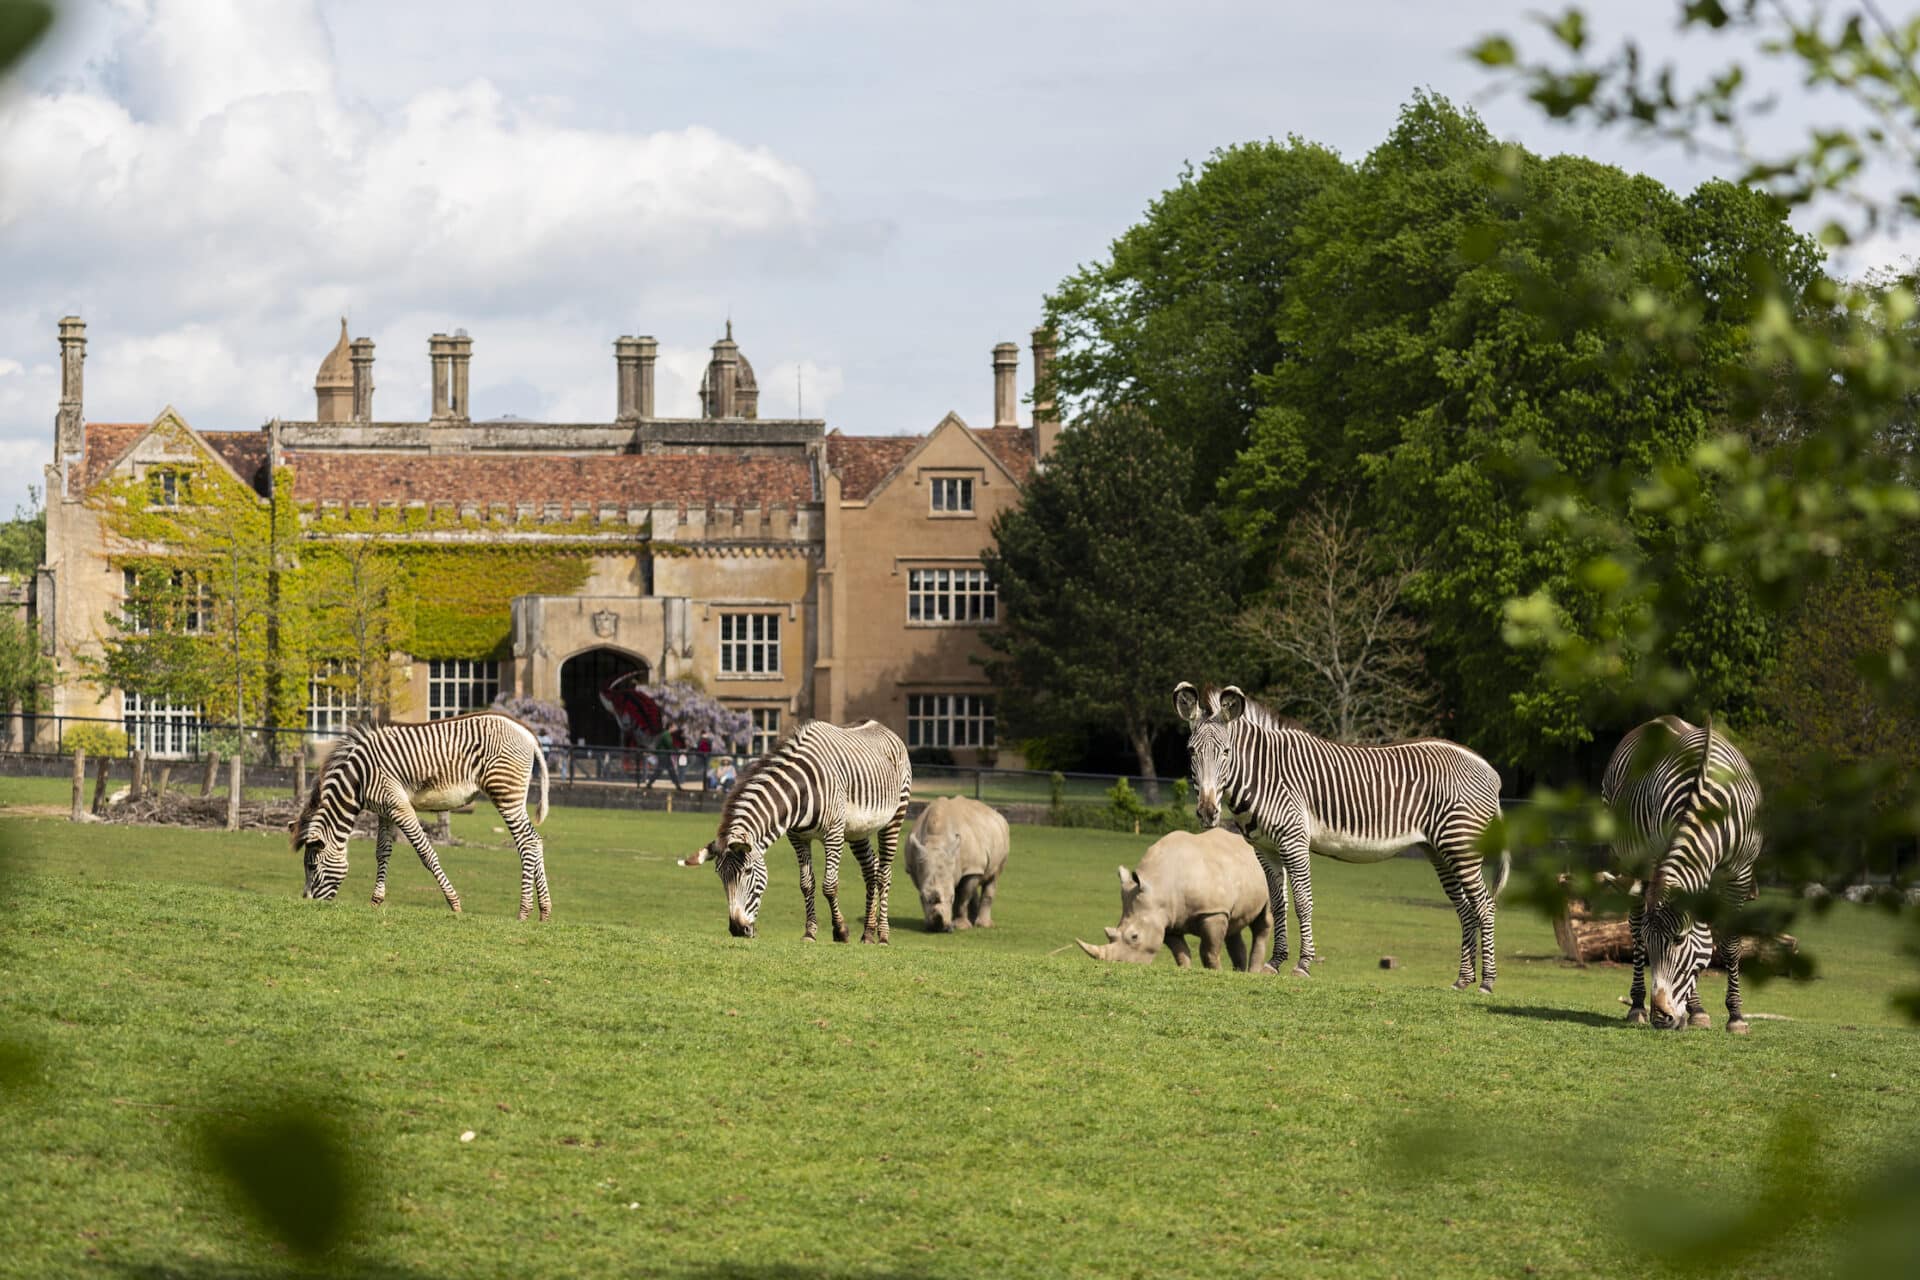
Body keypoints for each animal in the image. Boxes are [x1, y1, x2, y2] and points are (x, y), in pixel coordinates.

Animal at [288, 710, 552, 921]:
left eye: (312, 866)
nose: (308, 903)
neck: (358, 778)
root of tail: (527, 733)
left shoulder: (400, 807)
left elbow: (426, 853)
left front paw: (454, 903)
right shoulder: (385, 810)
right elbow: (382, 852)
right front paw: (375, 901)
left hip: (505, 793)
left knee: (527, 843)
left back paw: (524, 911)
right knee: (536, 840)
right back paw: (544, 912)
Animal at [679, 721, 910, 940]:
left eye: (747, 871)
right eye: (720, 876)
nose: (737, 929)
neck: (800, 792)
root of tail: (881, 726)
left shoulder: (834, 833)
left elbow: (829, 885)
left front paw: (841, 931)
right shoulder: (798, 837)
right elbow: (806, 884)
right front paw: (810, 933)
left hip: (895, 817)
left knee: (884, 874)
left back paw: (883, 934)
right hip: (857, 831)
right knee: (871, 870)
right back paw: (868, 933)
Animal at [1175, 679, 1505, 990]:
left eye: (1226, 752)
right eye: (1191, 752)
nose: (1207, 812)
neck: (1264, 774)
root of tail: (1489, 770)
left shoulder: (1294, 840)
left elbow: (1303, 901)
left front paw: (1303, 965)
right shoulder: (1265, 849)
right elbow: (1279, 906)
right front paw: (1275, 962)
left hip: (1461, 845)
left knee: (1485, 906)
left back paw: (1487, 982)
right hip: (1439, 850)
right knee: (1465, 909)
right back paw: (1463, 980)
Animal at [1597, 717, 1758, 1036]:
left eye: (1679, 939)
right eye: (1652, 944)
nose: (1661, 1018)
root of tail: (1658, 720)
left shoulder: (1740, 873)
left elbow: (1730, 944)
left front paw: (1736, 1016)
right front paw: (1696, 1011)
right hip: (1632, 861)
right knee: (1634, 927)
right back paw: (1637, 1006)